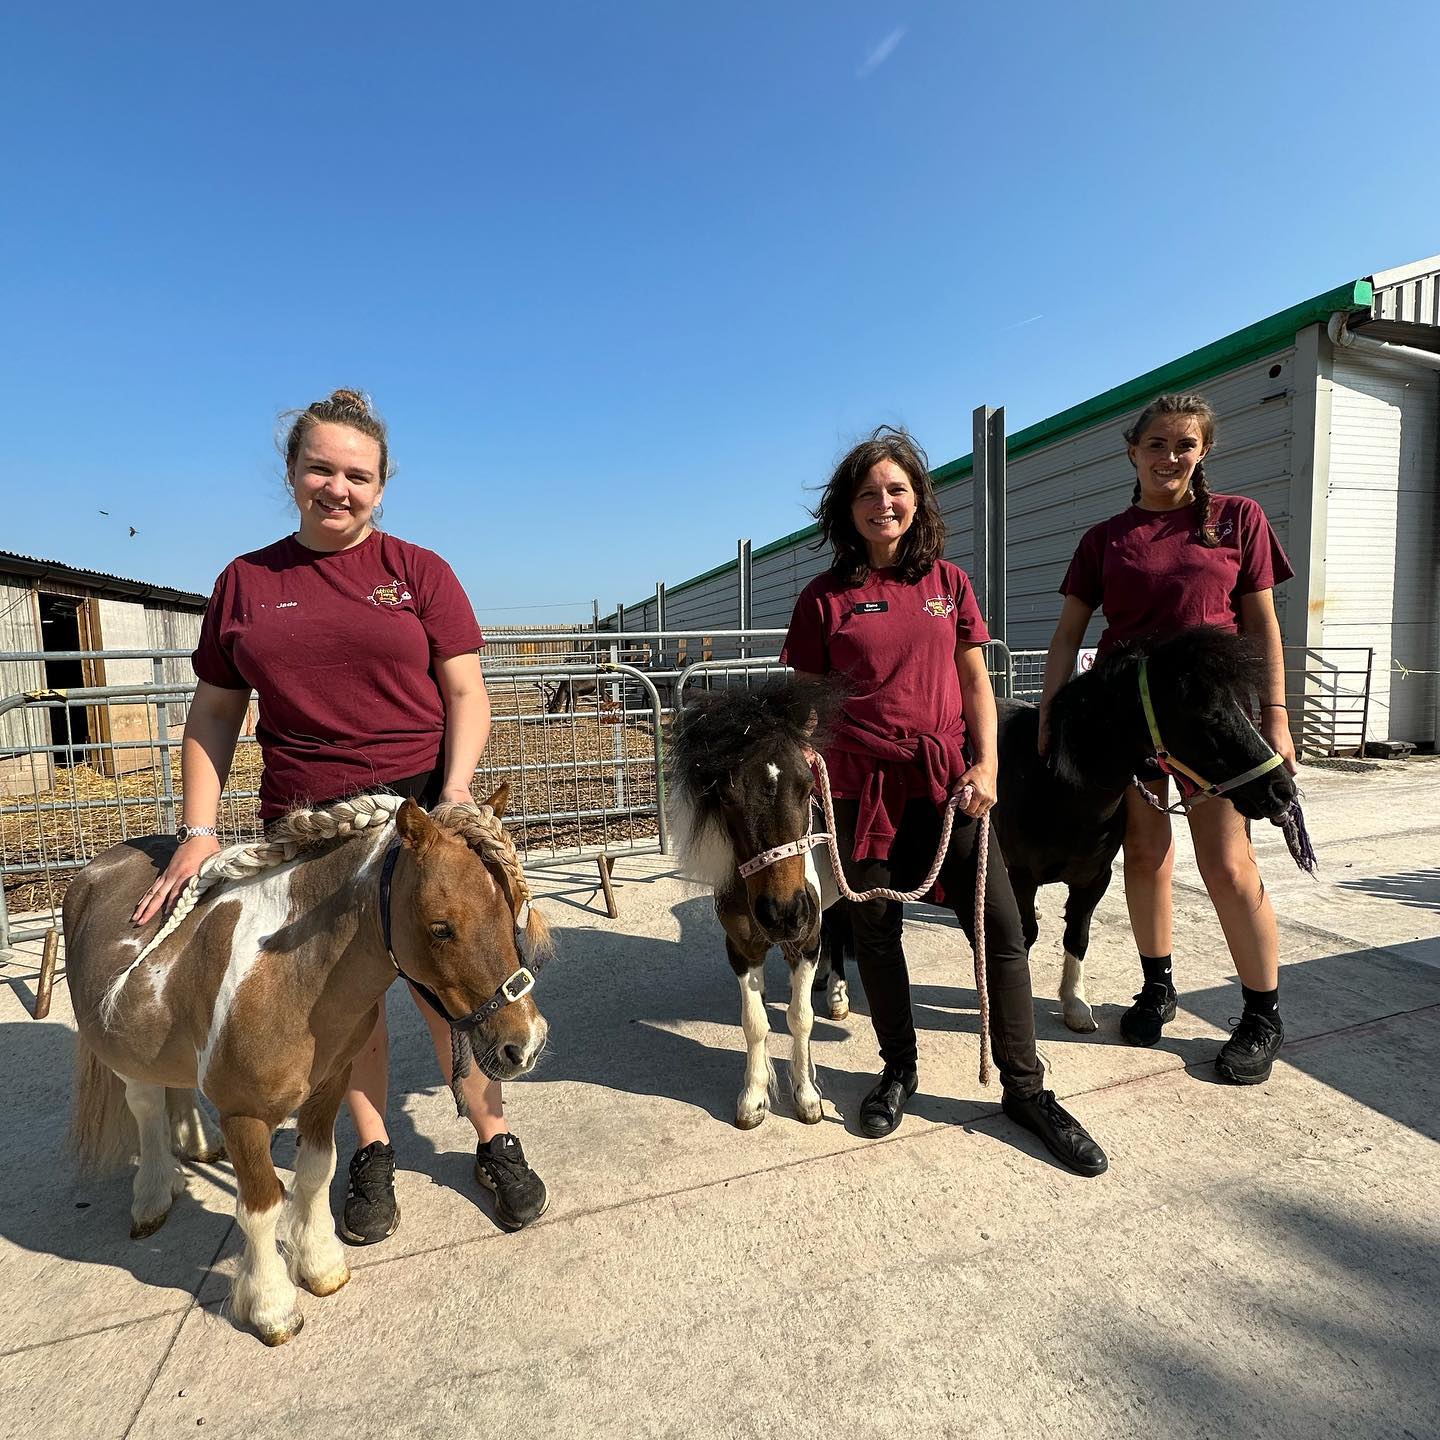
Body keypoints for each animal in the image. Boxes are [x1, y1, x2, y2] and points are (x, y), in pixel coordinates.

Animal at [61, 783, 547, 1342]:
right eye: (441, 928)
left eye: (513, 908)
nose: (525, 1043)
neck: (284, 976)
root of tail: (98, 866)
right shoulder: (244, 1117)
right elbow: (261, 1206)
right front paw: (272, 1308)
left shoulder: (327, 1087)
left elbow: (316, 1173)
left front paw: (321, 1268)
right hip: (122, 1051)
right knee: (144, 1103)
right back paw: (154, 1195)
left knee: (174, 1085)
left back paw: (196, 1144)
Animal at [668, 679, 846, 1128]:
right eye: (727, 796)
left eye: (807, 786)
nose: (783, 915)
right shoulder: (741, 949)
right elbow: (754, 1022)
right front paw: (754, 1098)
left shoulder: (805, 942)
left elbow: (800, 1018)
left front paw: (806, 1096)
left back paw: (836, 992)